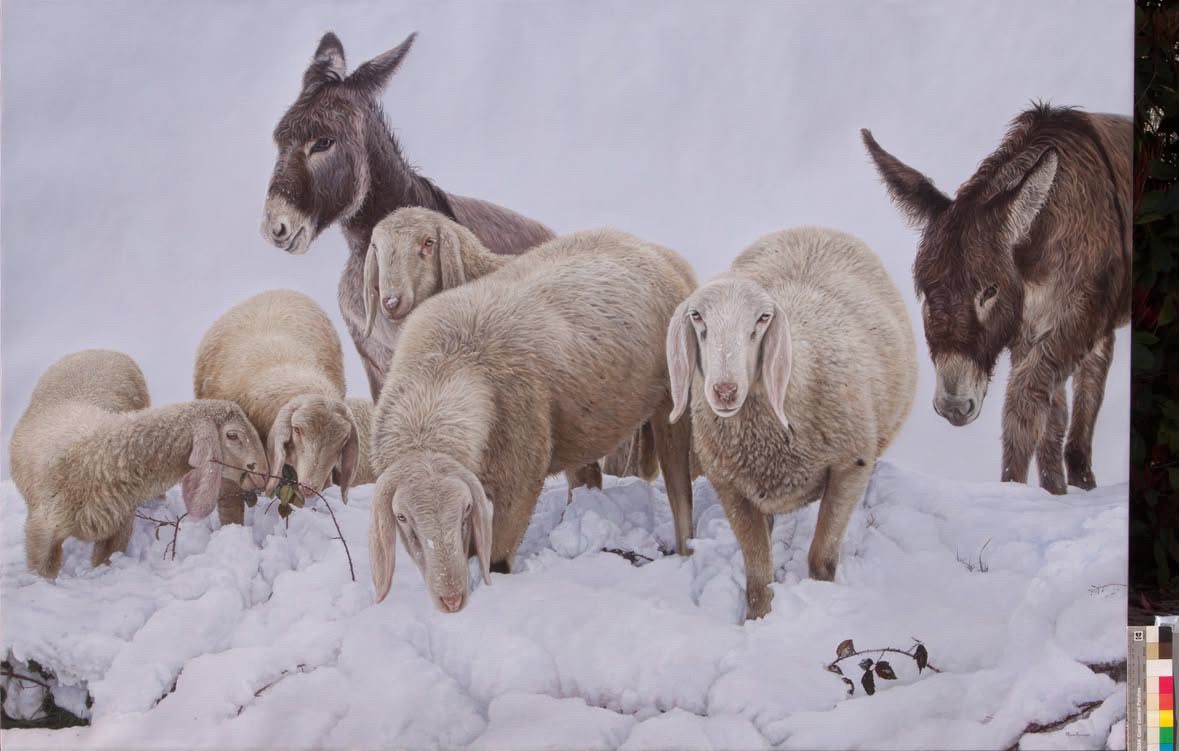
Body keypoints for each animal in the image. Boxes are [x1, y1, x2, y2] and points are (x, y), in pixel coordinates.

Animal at [9, 349, 268, 578]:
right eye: (232, 435)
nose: (264, 473)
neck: (100, 455)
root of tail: (98, 349)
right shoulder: (42, 532)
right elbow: (42, 571)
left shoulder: (119, 526)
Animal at [194, 289, 361, 524]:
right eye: (297, 429)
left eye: (344, 440)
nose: (311, 487)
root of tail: (276, 291)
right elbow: (229, 502)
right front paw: (231, 528)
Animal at [367, 212, 697, 612]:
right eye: (402, 517)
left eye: (427, 244)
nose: (452, 601)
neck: (446, 367)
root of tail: (652, 247)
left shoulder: (520, 482)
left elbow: (496, 560)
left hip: (671, 402)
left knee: (680, 493)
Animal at [666, 226, 917, 620]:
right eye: (697, 317)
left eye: (762, 319)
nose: (724, 390)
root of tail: (816, 229)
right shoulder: (730, 487)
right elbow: (757, 575)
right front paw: (758, 619)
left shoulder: (849, 465)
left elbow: (821, 558)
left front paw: (821, 600)